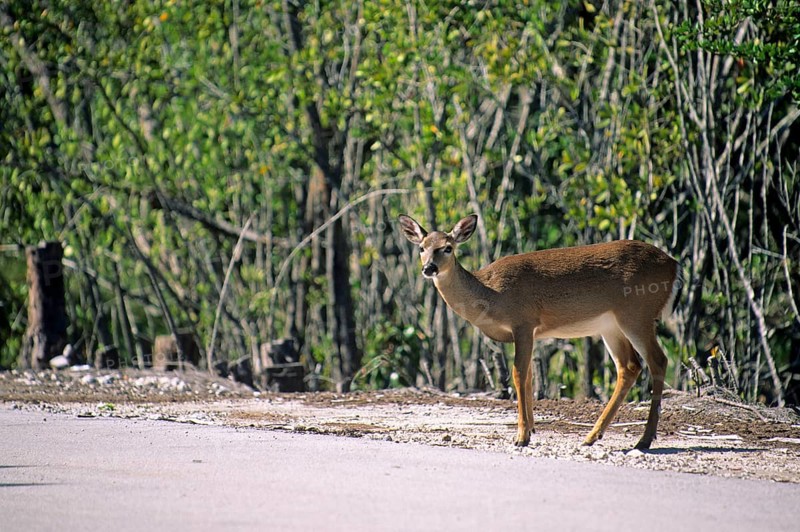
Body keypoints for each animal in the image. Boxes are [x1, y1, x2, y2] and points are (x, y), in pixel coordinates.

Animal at [398, 214, 680, 450]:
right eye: (421, 247)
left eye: (448, 247)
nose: (429, 268)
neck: (491, 293)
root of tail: (674, 265)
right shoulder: (532, 332)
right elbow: (530, 376)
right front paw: (531, 430)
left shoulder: (523, 321)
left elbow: (518, 374)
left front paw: (521, 436)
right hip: (610, 325)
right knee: (629, 366)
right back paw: (593, 436)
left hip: (637, 313)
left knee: (657, 360)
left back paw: (643, 440)